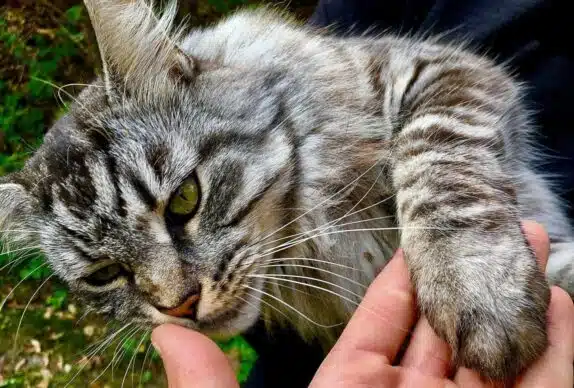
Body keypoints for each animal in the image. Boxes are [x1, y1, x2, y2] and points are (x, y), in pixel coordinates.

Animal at [1, 0, 574, 382]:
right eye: (104, 275)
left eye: (185, 198)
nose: (181, 307)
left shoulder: (441, 71)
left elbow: (439, 162)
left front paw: (477, 287)